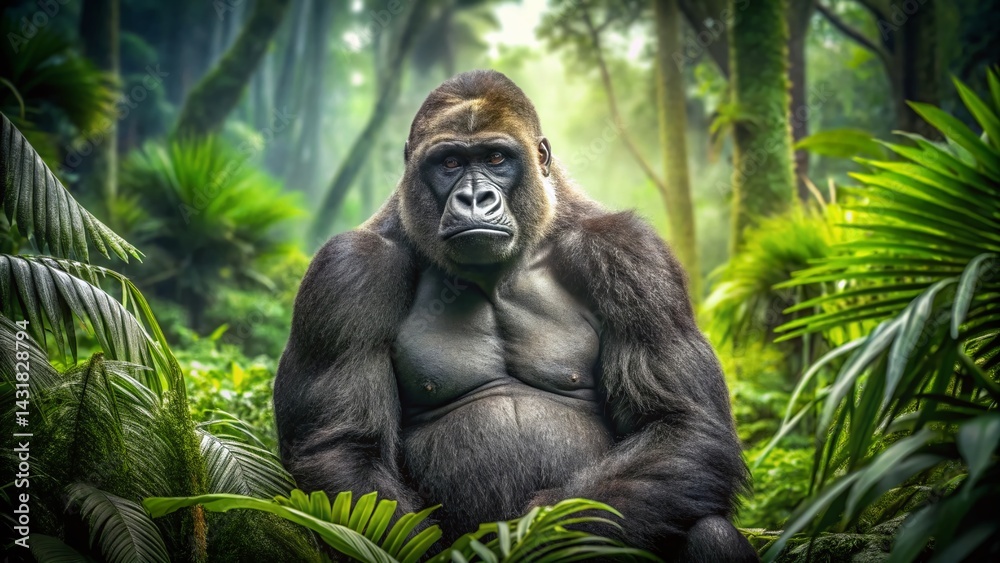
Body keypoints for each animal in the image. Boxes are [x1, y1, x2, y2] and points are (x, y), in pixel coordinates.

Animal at [274, 69, 757, 561]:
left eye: (495, 158)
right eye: (449, 163)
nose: (474, 197)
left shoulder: (632, 255)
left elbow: (680, 424)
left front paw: (536, 539)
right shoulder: (347, 271)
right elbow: (344, 447)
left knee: (710, 530)